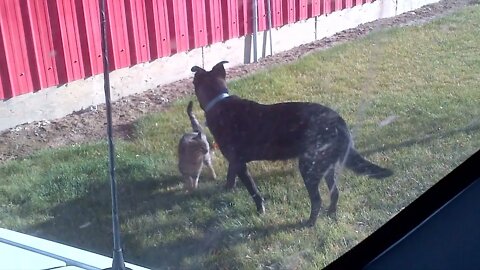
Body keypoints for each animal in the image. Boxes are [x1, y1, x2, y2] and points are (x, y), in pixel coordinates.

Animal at [189, 60, 392, 226]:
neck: (218, 101)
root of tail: (339, 121)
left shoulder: (239, 162)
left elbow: (253, 190)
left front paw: (260, 209)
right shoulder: (235, 162)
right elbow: (231, 177)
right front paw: (227, 190)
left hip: (309, 166)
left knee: (317, 199)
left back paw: (309, 223)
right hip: (326, 165)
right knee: (335, 193)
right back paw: (330, 214)